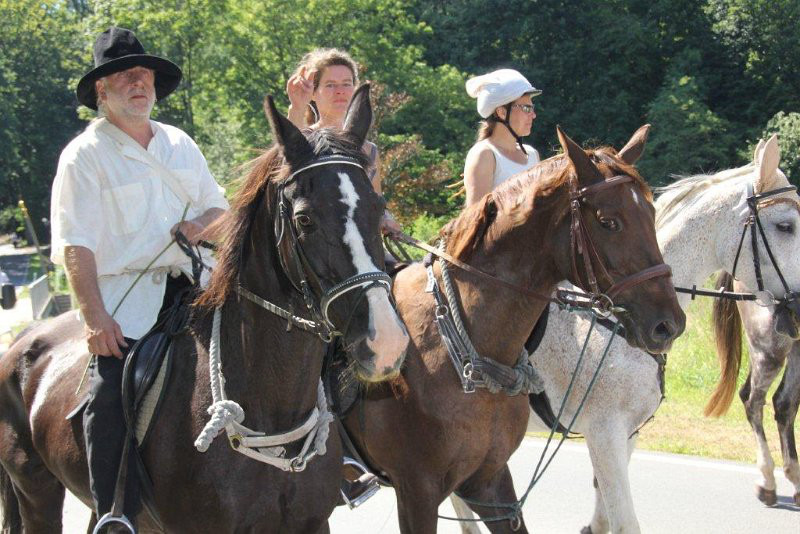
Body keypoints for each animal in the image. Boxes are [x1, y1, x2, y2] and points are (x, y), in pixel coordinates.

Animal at [0, 84, 409, 533]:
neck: (270, 409)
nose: (386, 342)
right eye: (304, 220)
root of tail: (23, 341)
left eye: (378, 207)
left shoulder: (311, 524)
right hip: (36, 493)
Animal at [451, 134, 800, 533]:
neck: (610, 322)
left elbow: (605, 518)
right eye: (785, 226)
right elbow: (625, 521)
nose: (668, 325)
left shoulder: (627, 434)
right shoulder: (604, 433)